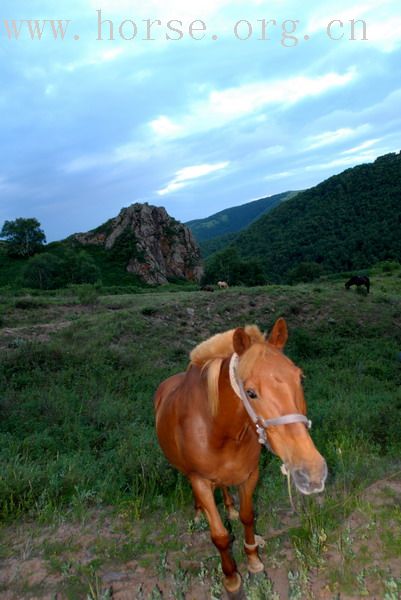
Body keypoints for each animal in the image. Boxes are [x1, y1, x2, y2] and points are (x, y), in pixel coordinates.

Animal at [153, 318, 324, 596]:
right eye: (251, 392)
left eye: (300, 378)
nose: (312, 471)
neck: (218, 429)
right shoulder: (200, 481)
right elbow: (220, 536)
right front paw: (232, 578)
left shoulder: (249, 475)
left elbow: (247, 516)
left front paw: (253, 559)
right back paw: (198, 513)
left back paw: (229, 508)